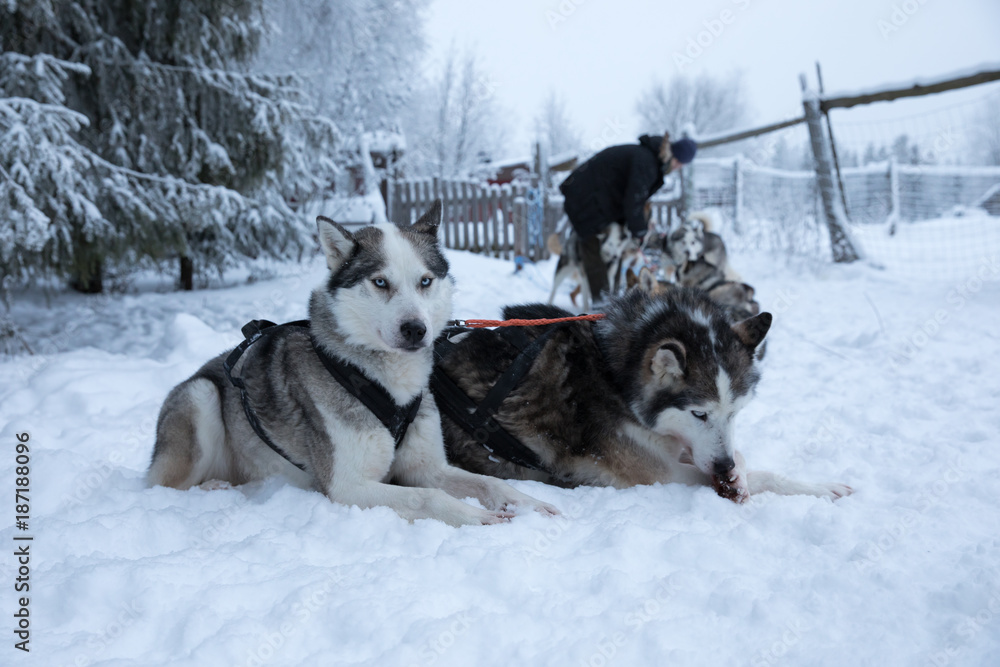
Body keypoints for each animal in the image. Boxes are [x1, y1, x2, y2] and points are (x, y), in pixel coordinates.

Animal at [148, 201, 560, 524]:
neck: (388, 386)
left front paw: (529, 503)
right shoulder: (347, 486)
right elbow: (427, 496)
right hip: (200, 397)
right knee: (160, 484)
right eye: (380, 282)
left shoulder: (427, 468)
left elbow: (490, 481)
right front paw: (478, 516)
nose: (416, 329)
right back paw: (212, 488)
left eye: (425, 281)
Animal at [438, 290, 852, 504]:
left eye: (734, 412)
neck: (613, 375)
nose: (723, 467)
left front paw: (809, 486)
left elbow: (747, 459)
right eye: (699, 414)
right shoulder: (657, 473)